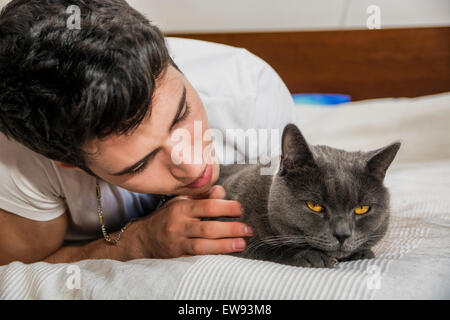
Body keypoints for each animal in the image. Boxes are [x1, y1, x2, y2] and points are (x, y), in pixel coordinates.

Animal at [216, 122, 402, 268]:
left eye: (362, 209)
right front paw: (311, 256)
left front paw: (363, 252)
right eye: (315, 206)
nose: (343, 234)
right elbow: (262, 247)